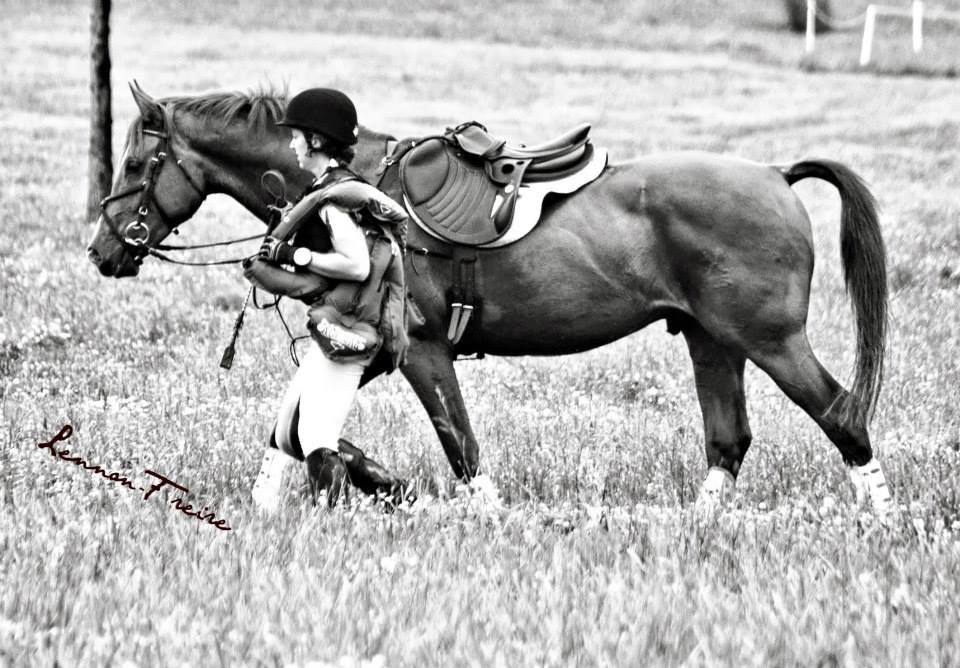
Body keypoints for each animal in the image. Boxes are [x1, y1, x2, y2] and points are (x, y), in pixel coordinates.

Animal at [88, 85, 892, 516]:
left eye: (134, 162)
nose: (102, 252)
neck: (357, 186)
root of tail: (775, 175)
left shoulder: (420, 352)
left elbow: (462, 448)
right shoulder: (366, 349)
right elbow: (292, 434)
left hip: (769, 341)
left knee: (842, 416)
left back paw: (885, 522)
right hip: (711, 340)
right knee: (728, 440)